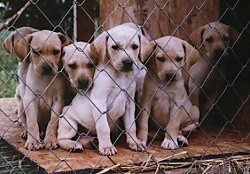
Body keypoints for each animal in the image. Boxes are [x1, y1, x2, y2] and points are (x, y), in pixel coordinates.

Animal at [58, 23, 148, 155]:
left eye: (135, 47)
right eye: (115, 47)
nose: (128, 62)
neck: (119, 76)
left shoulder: (130, 103)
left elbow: (132, 126)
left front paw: (134, 142)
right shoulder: (99, 102)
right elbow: (103, 127)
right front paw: (106, 146)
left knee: (81, 136)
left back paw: (91, 142)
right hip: (69, 122)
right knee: (61, 139)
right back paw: (72, 145)